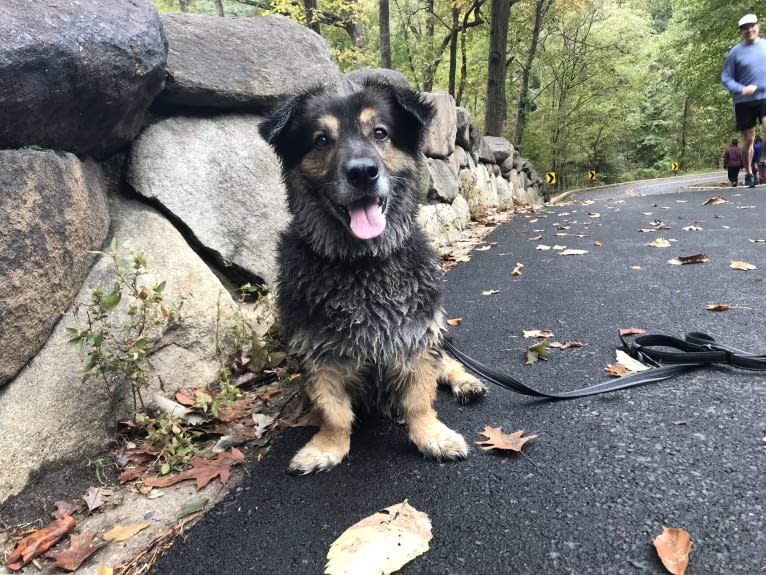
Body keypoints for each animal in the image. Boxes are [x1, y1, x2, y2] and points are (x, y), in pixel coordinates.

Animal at [258, 81, 486, 476]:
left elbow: (420, 399)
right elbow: (334, 413)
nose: (362, 172)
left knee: (448, 362)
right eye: (321, 140)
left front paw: (431, 437)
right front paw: (328, 447)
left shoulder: (417, 337)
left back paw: (467, 382)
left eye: (379, 133)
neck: (363, 265)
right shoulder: (318, 356)